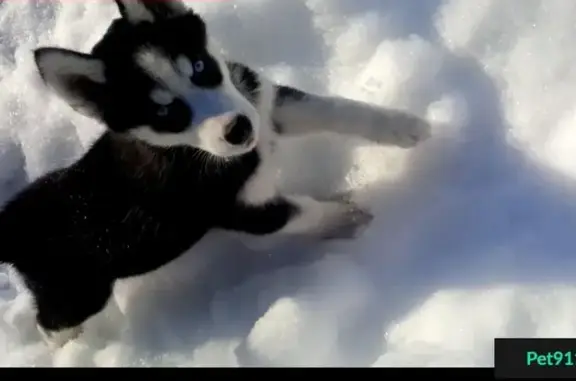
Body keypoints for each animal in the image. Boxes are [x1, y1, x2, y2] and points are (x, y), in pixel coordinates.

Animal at [0, 0, 430, 348]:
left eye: (200, 67)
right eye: (165, 111)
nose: (237, 129)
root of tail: (13, 220)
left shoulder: (263, 104)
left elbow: (333, 109)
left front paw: (404, 126)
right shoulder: (244, 214)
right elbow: (307, 212)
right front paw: (350, 217)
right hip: (77, 295)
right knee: (51, 325)